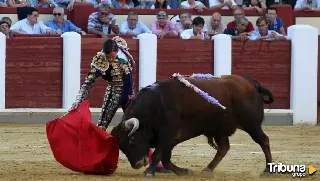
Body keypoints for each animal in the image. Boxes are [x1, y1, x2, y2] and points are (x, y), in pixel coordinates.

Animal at [111, 74, 274, 177]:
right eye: (121, 146)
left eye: (132, 141)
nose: (137, 164)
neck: (155, 106)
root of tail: (251, 82)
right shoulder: (170, 139)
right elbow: (166, 159)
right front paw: (183, 171)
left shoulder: (167, 133)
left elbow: (158, 154)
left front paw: (149, 172)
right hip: (220, 129)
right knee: (223, 148)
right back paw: (207, 170)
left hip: (252, 125)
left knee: (264, 141)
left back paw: (267, 170)